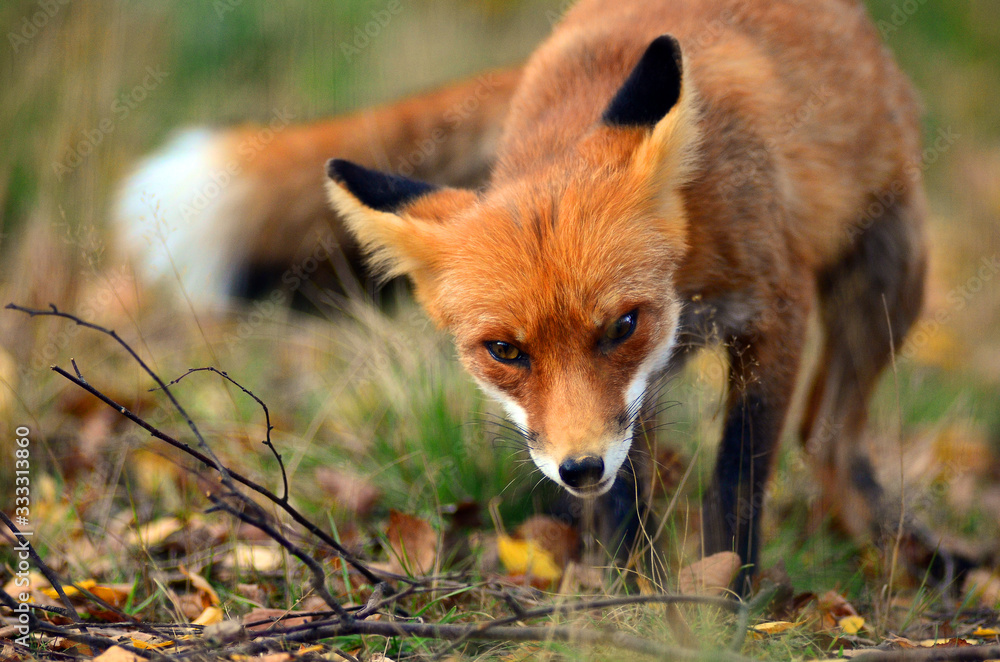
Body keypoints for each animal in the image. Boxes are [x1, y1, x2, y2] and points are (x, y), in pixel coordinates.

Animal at [117, 0, 971, 589]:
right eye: (504, 351)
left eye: (622, 325)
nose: (579, 470)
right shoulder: (627, 405)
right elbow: (628, 513)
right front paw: (639, 607)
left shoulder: (772, 315)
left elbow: (735, 485)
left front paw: (729, 609)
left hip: (891, 275)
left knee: (827, 435)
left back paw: (893, 545)